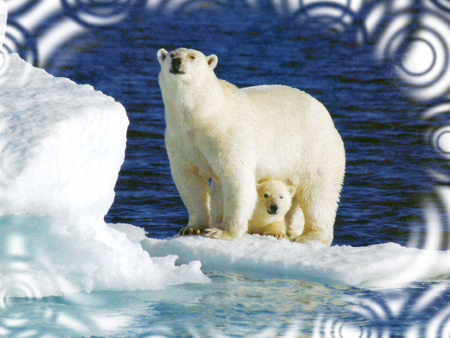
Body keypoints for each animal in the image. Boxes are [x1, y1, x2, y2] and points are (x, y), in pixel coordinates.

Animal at [157, 46, 344, 246]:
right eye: (171, 55)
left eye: (192, 57)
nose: (177, 62)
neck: (204, 115)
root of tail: (327, 117)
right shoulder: (180, 139)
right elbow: (189, 179)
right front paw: (192, 228)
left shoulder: (227, 135)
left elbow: (236, 179)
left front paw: (222, 232)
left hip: (314, 149)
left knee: (317, 193)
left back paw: (310, 236)